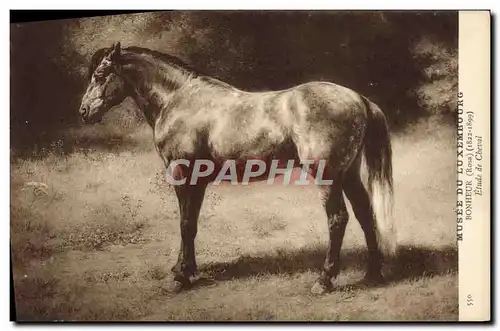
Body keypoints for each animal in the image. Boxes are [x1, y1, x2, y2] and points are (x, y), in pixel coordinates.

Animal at [79, 42, 398, 294]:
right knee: (365, 213)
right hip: (349, 174)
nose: (84, 111)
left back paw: (324, 280)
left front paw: (179, 277)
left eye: (100, 75)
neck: (179, 100)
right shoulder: (198, 180)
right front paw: (188, 270)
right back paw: (372, 274)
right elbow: (191, 224)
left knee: (338, 219)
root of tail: (359, 99)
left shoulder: (182, 173)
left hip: (327, 176)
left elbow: (184, 223)